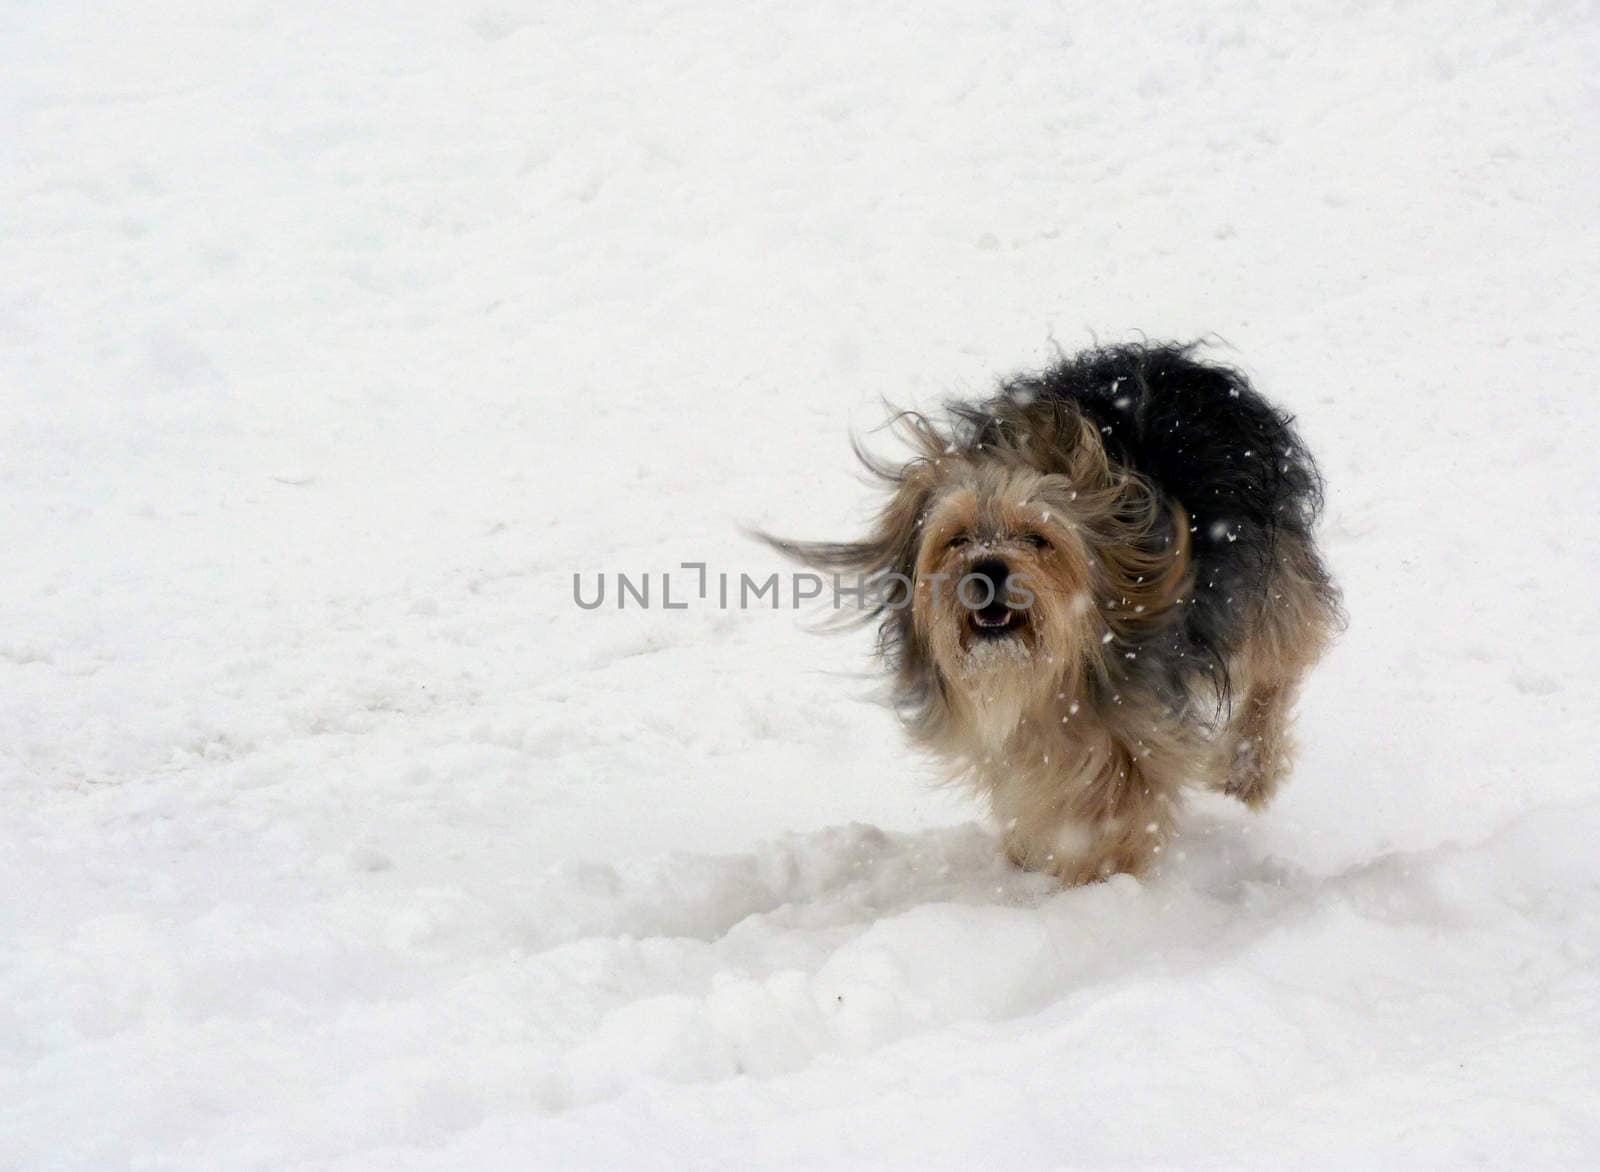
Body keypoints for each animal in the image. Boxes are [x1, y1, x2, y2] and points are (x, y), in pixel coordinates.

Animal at [768, 342, 1344, 883]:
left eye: (1037, 538)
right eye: (957, 538)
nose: (987, 569)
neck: (1044, 678)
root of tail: (1174, 363)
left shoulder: (1134, 727)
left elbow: (1119, 804)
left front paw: (1096, 881)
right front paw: (1029, 860)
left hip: (1269, 577)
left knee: (1281, 661)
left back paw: (1248, 770)